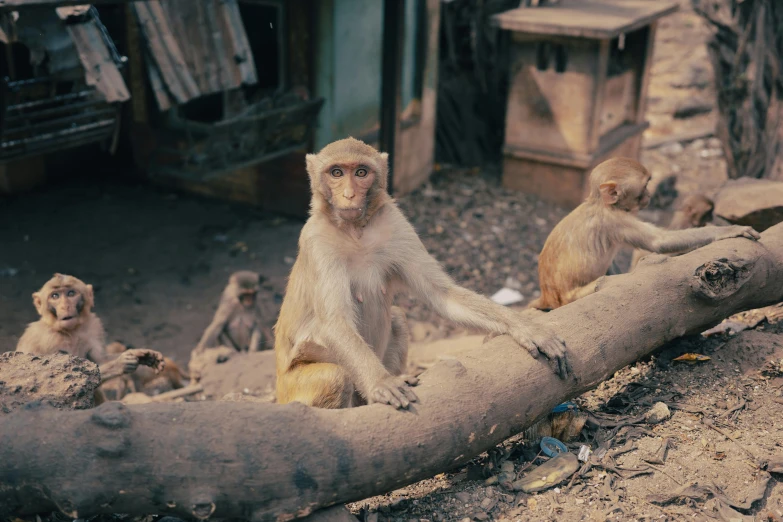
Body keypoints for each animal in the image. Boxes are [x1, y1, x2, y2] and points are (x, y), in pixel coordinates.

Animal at [15, 272, 164, 382]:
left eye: (71, 293)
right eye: (55, 296)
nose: (65, 306)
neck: (69, 331)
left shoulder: (94, 326)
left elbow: (100, 359)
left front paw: (141, 354)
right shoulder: (34, 337)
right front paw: (119, 364)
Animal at [276, 135, 568, 410]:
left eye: (360, 172)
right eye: (336, 173)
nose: (349, 195)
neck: (355, 231)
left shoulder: (396, 224)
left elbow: (442, 294)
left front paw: (526, 328)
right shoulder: (317, 243)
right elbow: (335, 321)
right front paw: (381, 382)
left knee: (398, 320)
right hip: (292, 389)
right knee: (335, 377)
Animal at [532, 155, 760, 308]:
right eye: (644, 186)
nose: (650, 195)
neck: (599, 203)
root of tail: (548, 295)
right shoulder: (617, 221)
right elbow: (659, 241)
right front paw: (729, 229)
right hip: (572, 297)